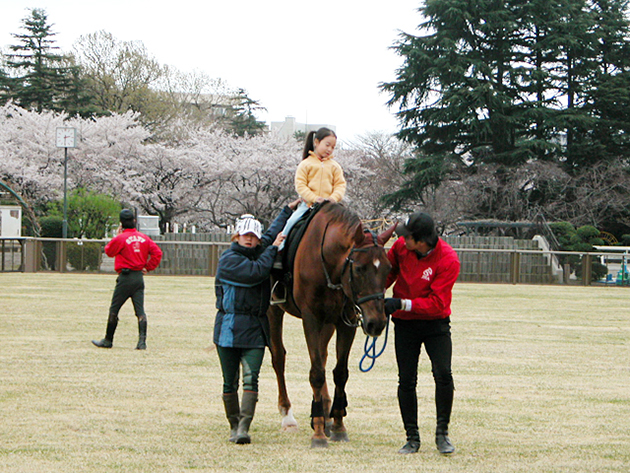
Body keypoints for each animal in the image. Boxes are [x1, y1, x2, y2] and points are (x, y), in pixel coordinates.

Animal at [266, 202, 396, 446]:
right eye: (359, 268)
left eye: (388, 268)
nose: (376, 323)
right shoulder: (311, 319)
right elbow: (316, 373)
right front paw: (318, 432)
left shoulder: (346, 321)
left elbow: (339, 373)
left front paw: (337, 424)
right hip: (274, 311)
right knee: (279, 357)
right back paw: (288, 416)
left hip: (327, 324)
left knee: (323, 356)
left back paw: (324, 414)